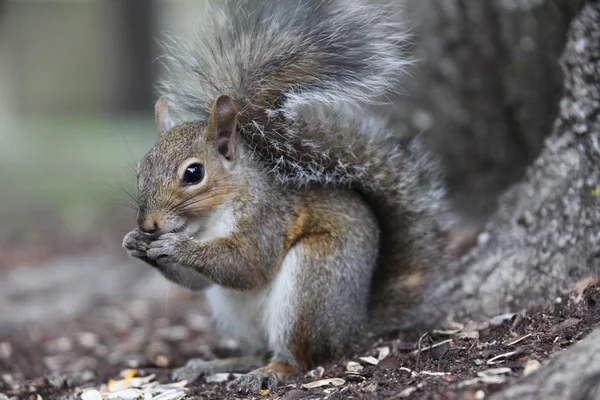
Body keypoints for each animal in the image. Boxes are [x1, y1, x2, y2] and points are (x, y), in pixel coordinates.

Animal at [123, 0, 450, 394]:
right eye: (140, 168)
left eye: (193, 173)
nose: (148, 224)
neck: (206, 223)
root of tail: (356, 327)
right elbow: (199, 281)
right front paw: (135, 242)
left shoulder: (268, 219)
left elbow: (249, 265)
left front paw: (175, 247)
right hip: (235, 312)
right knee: (259, 349)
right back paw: (221, 364)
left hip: (313, 282)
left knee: (298, 358)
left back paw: (269, 373)